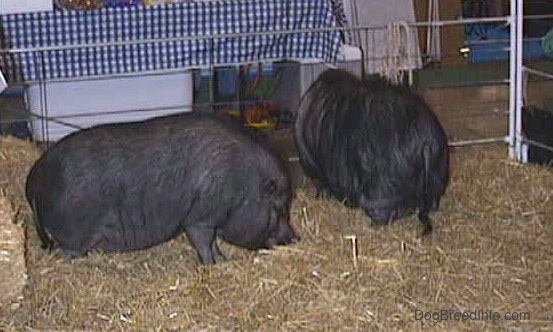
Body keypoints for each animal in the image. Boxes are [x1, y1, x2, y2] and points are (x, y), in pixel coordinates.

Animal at [26, 111, 300, 264]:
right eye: (279, 208)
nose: (294, 237)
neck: (241, 186)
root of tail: (35, 177)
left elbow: (213, 243)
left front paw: (225, 260)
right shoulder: (198, 217)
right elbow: (203, 242)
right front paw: (214, 265)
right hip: (73, 236)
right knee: (64, 251)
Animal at [294, 68, 448, 235]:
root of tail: (424, 142)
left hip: (382, 189)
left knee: (382, 213)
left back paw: (371, 224)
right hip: (438, 173)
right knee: (432, 202)